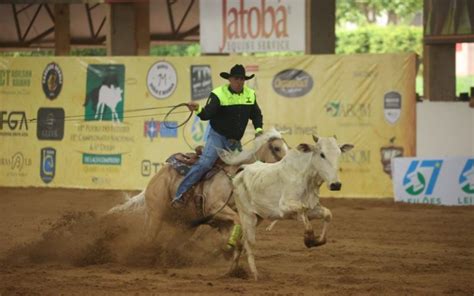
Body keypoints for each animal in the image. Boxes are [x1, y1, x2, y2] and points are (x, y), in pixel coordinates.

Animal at [141, 128, 288, 251]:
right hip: (156, 215)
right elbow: (237, 219)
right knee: (148, 238)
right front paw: (230, 244)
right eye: (276, 148)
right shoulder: (214, 207)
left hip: (185, 225)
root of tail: (158, 175)